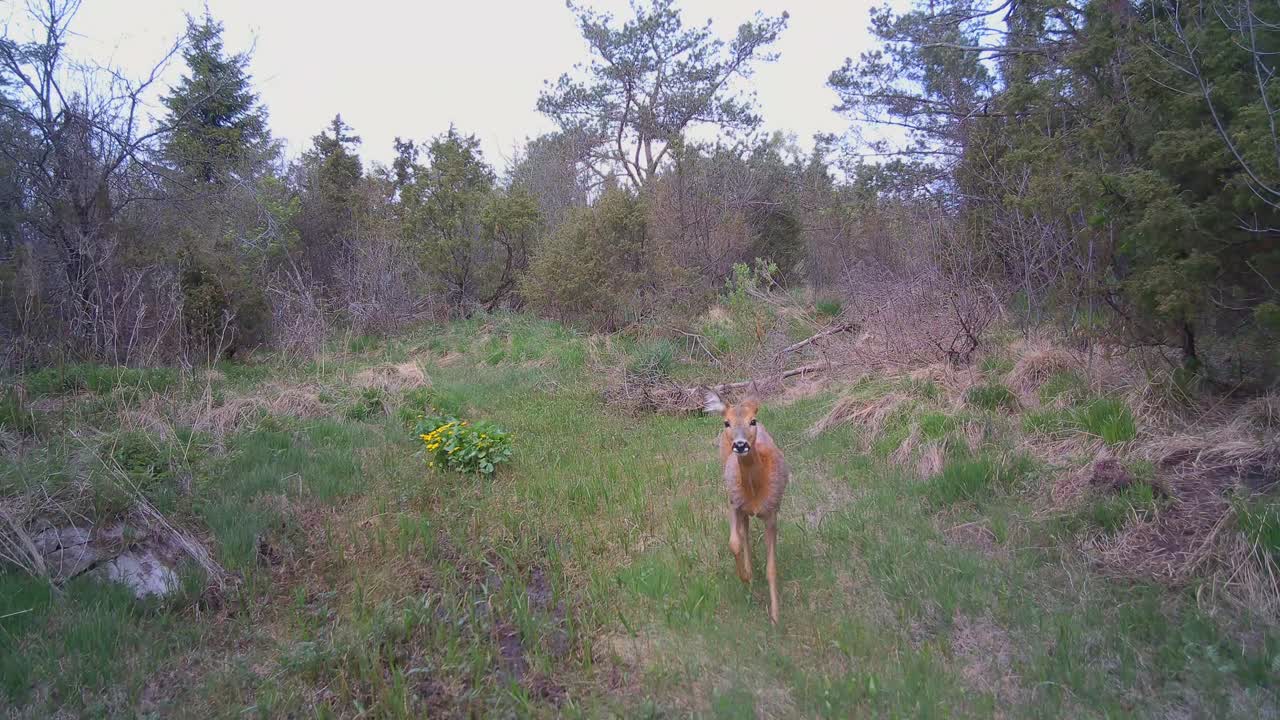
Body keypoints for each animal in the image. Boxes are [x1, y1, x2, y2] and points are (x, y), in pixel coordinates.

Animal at [704, 388, 789, 624]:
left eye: (753, 421)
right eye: (726, 422)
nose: (740, 445)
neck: (755, 490)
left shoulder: (772, 512)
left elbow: (772, 568)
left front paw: (775, 617)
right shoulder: (733, 504)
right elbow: (734, 543)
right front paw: (745, 576)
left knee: (747, 531)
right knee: (744, 534)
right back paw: (749, 573)